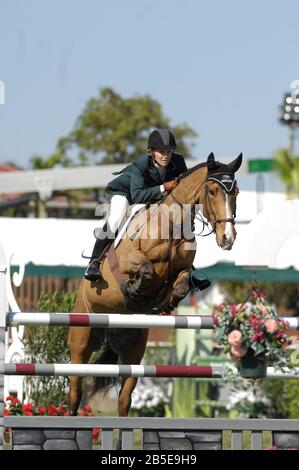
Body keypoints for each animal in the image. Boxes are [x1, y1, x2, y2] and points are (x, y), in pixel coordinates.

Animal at [68, 151, 241, 414]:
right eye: (212, 191)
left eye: (236, 192)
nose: (228, 238)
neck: (171, 226)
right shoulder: (129, 259)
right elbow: (146, 271)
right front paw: (134, 288)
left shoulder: (182, 270)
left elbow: (181, 283)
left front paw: (166, 303)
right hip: (82, 338)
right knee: (75, 389)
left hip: (134, 349)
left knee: (124, 398)